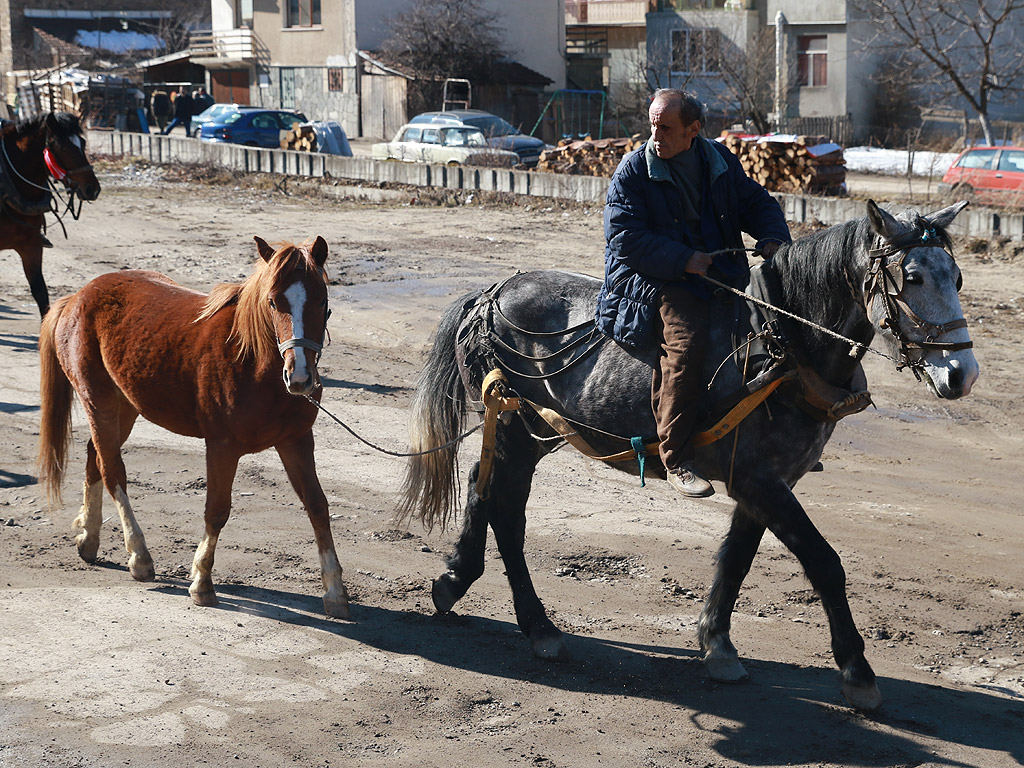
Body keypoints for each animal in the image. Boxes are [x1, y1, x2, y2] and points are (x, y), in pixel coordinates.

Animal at [397, 199, 974, 708]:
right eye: (913, 277)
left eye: (958, 278)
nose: (961, 374)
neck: (780, 346)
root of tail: (491, 293)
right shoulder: (761, 482)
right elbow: (825, 563)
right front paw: (857, 671)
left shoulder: (765, 482)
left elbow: (737, 559)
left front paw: (716, 644)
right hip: (520, 429)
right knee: (506, 510)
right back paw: (538, 626)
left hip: (532, 431)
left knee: (482, 484)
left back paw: (455, 579)